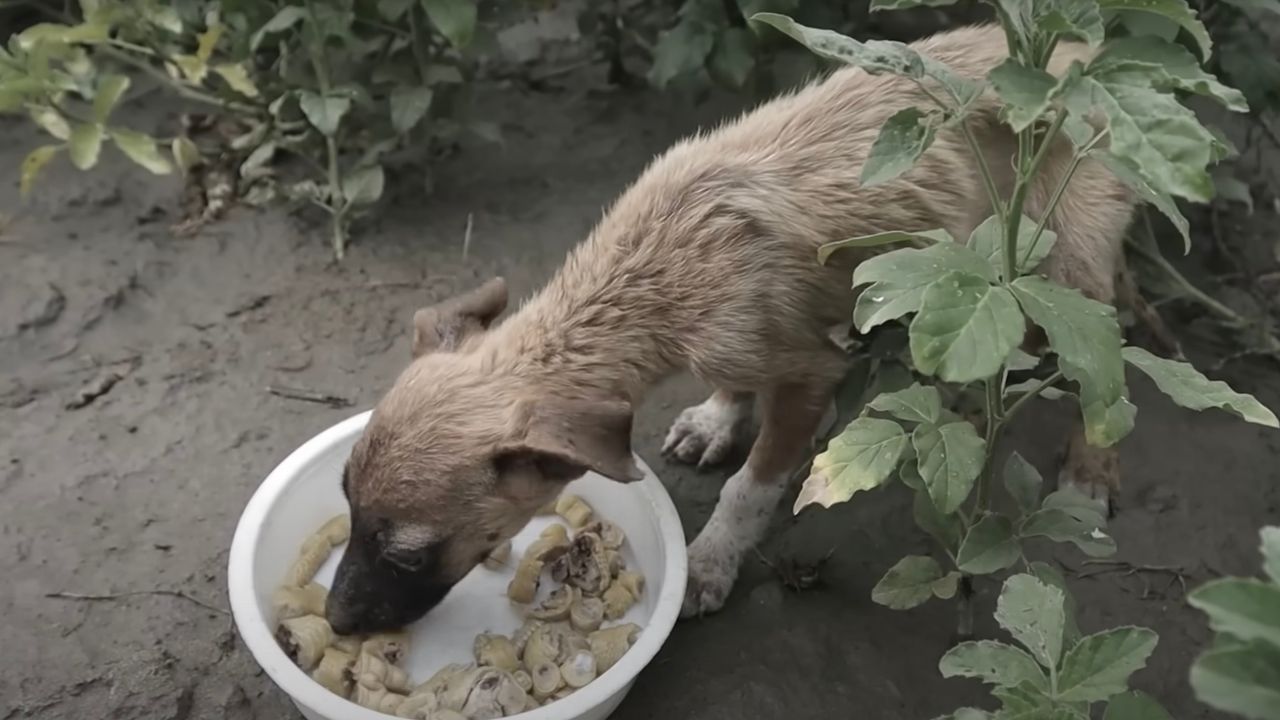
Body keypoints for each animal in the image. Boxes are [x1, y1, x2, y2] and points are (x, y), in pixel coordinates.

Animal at [325, 23, 1136, 632]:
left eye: (407, 555)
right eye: (346, 505)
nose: (333, 622)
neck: (662, 267)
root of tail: (1080, 57)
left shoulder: (811, 374)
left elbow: (752, 487)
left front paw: (710, 562)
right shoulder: (747, 341)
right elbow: (735, 387)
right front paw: (719, 418)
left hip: (1075, 264)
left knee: (1107, 370)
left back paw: (1092, 472)